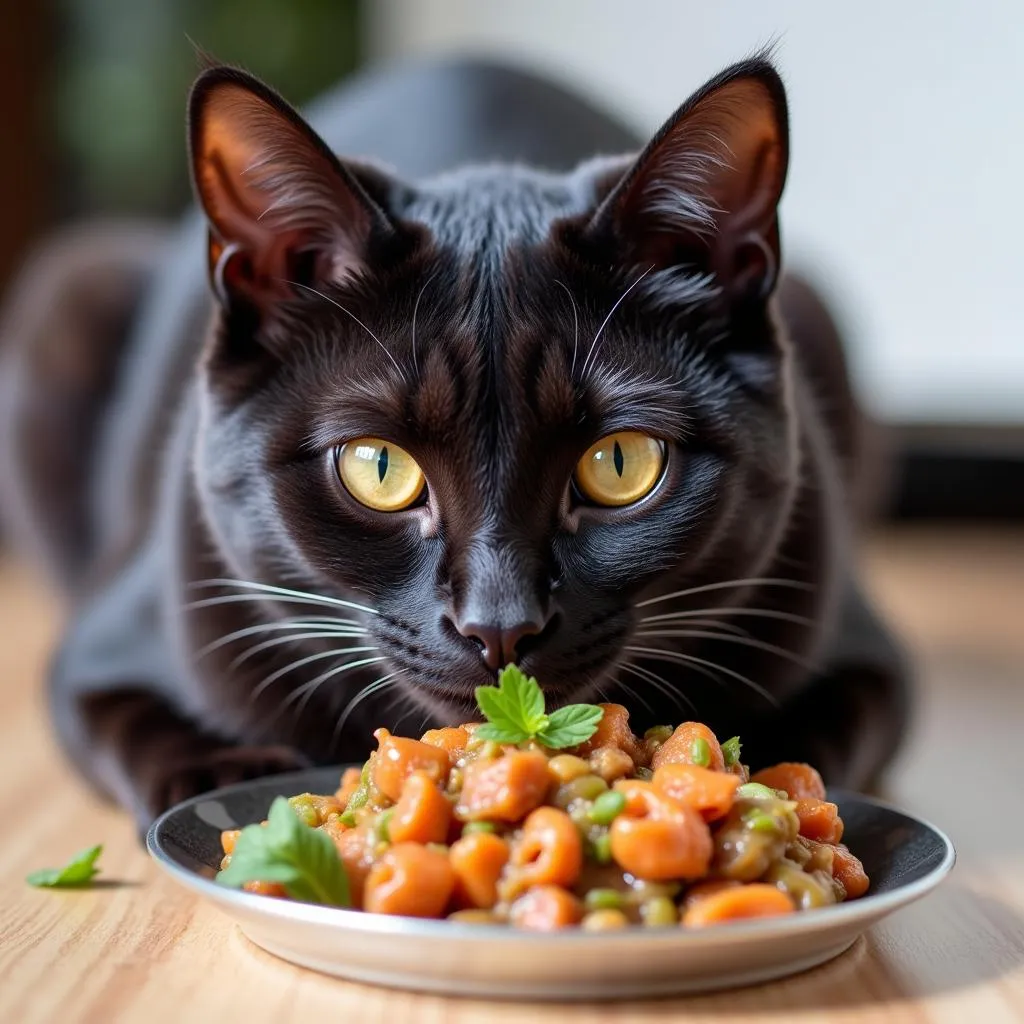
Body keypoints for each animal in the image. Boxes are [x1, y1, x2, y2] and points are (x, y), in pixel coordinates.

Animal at [0, 51, 913, 827]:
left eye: (621, 463)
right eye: (377, 467)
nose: (499, 628)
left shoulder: (861, 648)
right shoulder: (108, 647)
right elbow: (140, 726)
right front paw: (231, 778)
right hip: (69, 289)